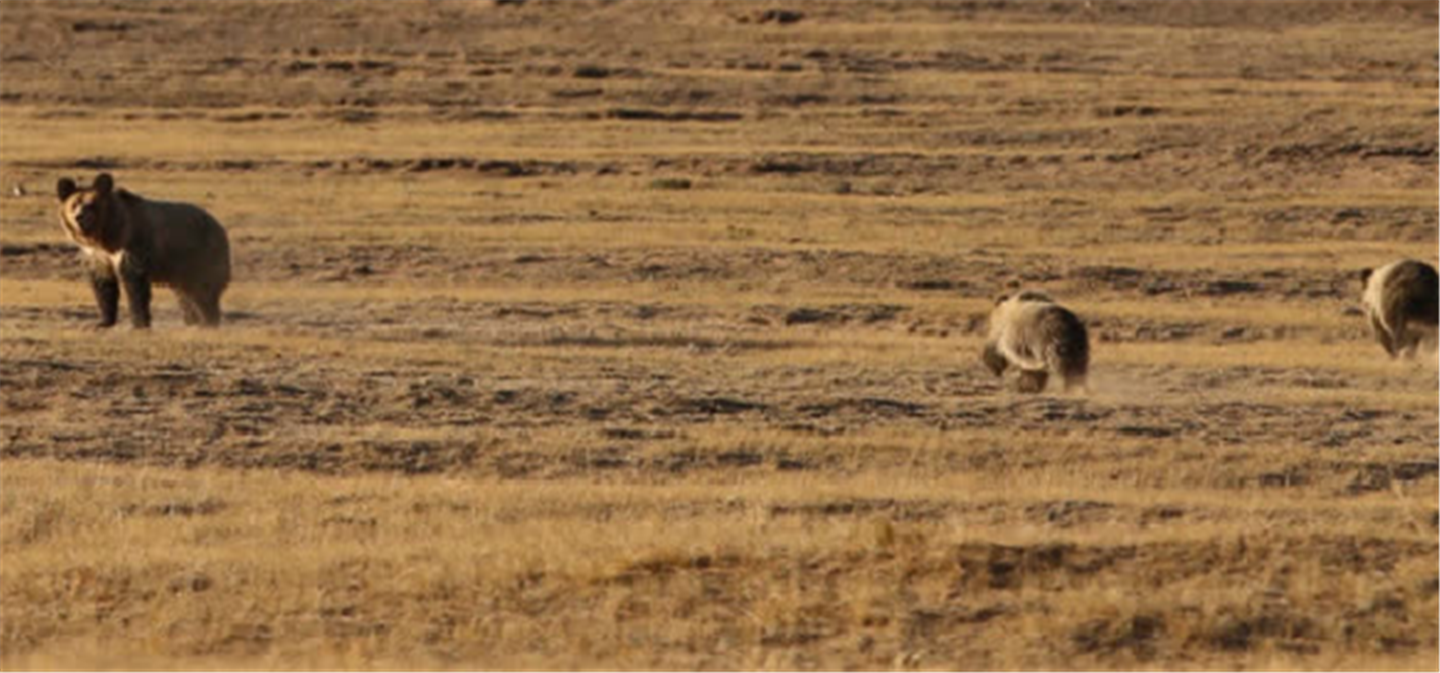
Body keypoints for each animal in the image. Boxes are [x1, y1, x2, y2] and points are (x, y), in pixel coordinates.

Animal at [56, 173, 230, 330]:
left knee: (203, 290)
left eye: (91, 204)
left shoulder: (134, 246)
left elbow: (135, 284)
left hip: (202, 254)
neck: (107, 236)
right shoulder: (99, 256)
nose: (79, 217)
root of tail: (219, 226)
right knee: (185, 294)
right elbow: (103, 284)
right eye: (73, 205)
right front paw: (102, 322)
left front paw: (138, 323)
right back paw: (192, 320)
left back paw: (208, 321)